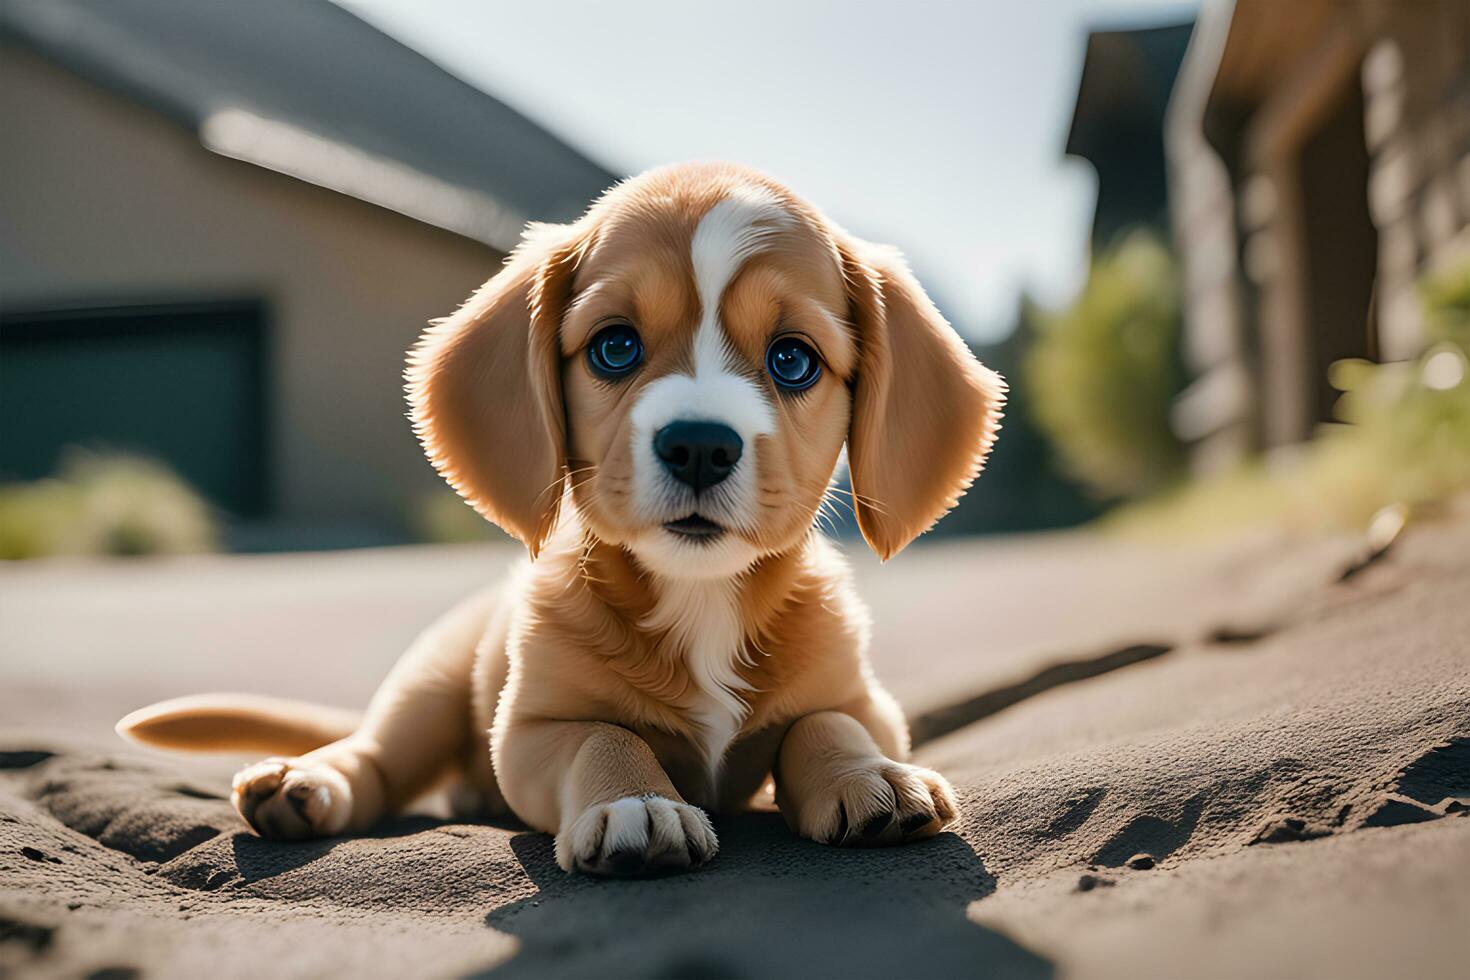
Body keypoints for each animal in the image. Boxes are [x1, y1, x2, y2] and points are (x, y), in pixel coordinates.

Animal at [120, 164, 1005, 875]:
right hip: (430, 683)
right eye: (615, 348)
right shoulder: (529, 731)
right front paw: (636, 805)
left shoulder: (868, 701)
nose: (699, 446)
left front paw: (869, 778)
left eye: (793, 360)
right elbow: (605, 736)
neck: (701, 599)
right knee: (375, 754)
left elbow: (825, 722)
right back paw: (306, 781)